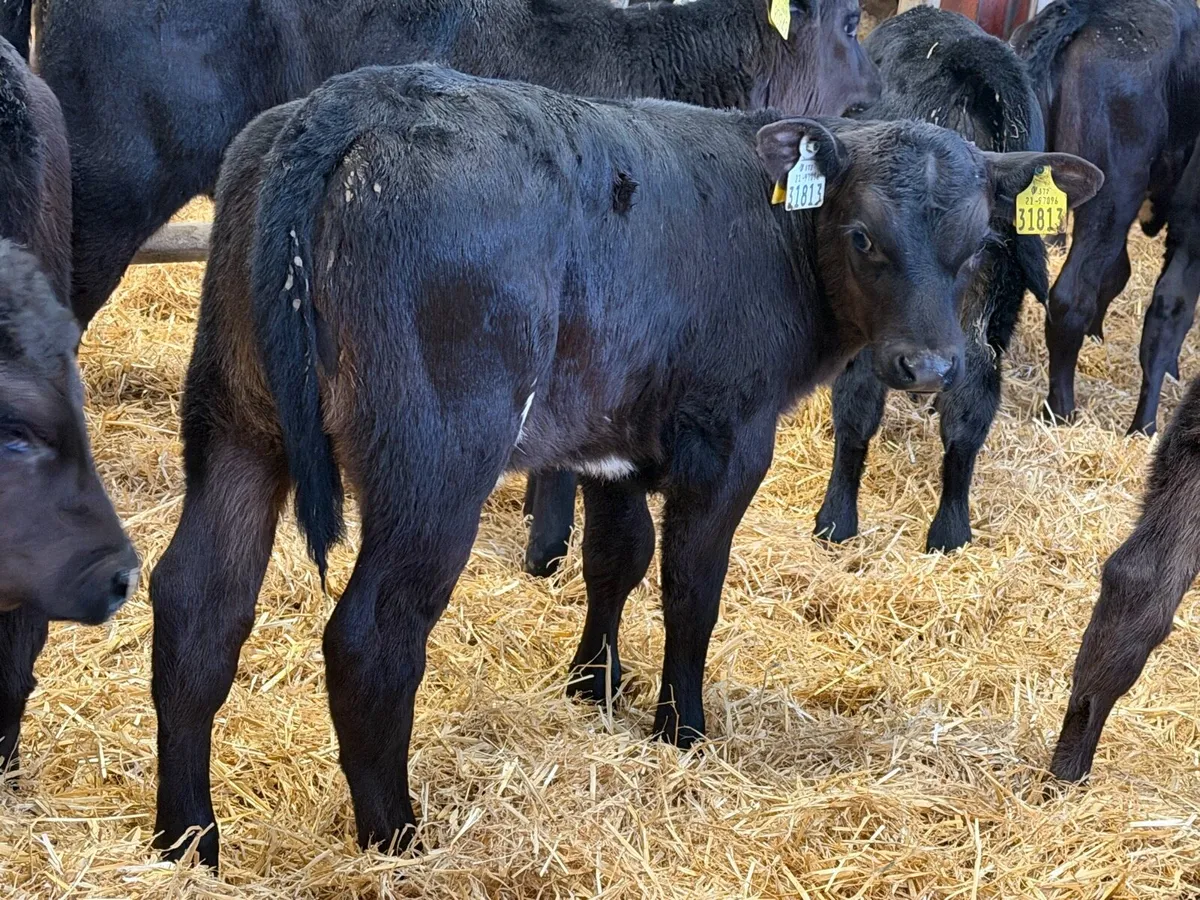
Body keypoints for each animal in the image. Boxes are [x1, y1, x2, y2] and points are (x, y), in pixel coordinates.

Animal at [147, 62, 1102, 865]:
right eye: (864, 236)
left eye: (978, 244)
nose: (928, 366)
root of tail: (350, 98)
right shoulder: (728, 439)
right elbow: (691, 586)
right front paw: (681, 727)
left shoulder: (609, 442)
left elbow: (615, 561)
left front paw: (592, 686)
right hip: (434, 461)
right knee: (373, 636)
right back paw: (398, 841)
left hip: (237, 422)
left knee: (199, 604)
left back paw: (187, 838)